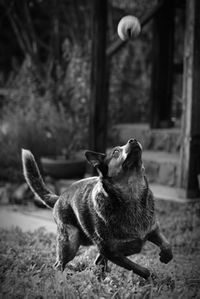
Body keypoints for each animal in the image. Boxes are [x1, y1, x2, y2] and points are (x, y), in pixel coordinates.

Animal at [21, 139, 172, 280]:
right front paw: (151, 276)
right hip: (71, 240)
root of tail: (59, 198)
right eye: (115, 151)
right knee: (59, 265)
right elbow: (137, 268)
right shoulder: (111, 252)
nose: (133, 140)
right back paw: (61, 280)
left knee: (97, 262)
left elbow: (167, 244)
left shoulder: (153, 229)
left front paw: (165, 256)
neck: (132, 194)